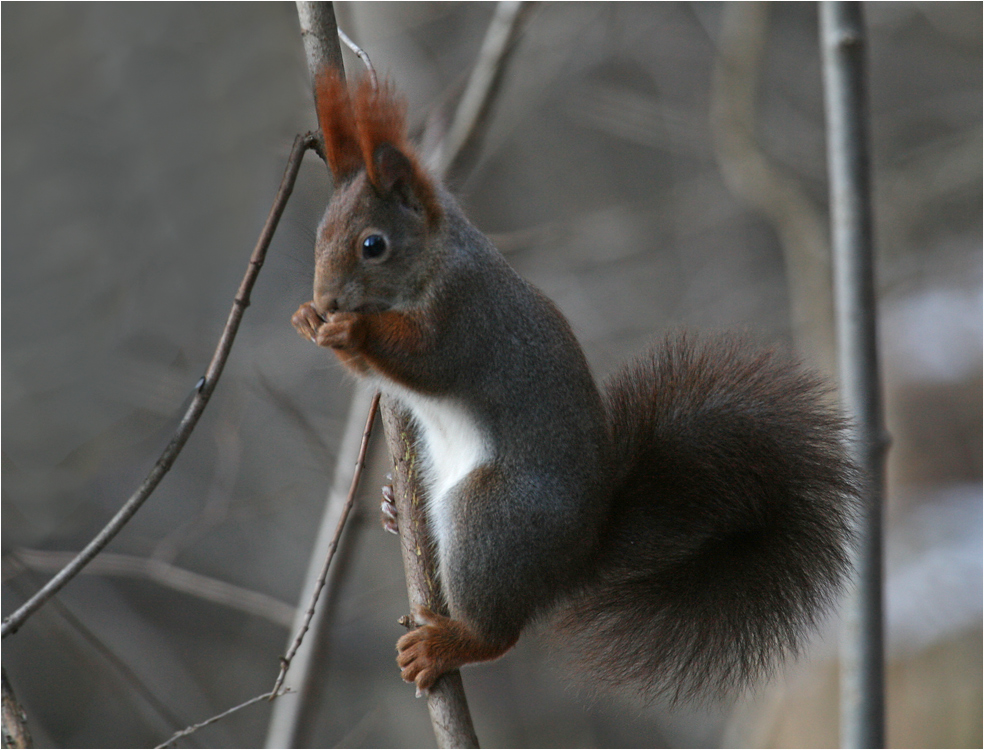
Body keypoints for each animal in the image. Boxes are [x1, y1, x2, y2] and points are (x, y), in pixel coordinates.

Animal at [290, 70, 852, 704]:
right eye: (321, 233)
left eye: (373, 245)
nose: (328, 297)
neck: (436, 261)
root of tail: (577, 556)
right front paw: (311, 320)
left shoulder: (467, 318)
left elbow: (424, 359)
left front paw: (351, 328)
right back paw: (392, 506)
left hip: (491, 519)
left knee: (501, 633)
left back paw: (449, 645)